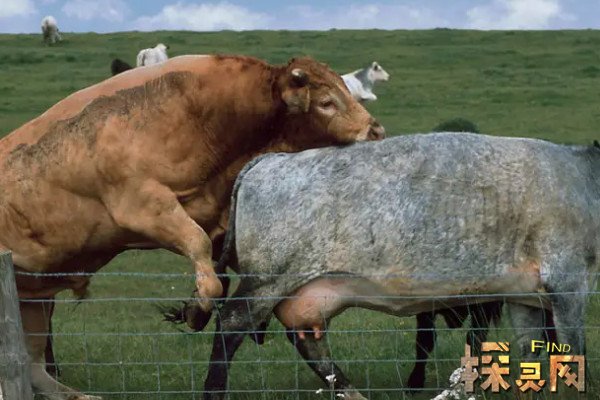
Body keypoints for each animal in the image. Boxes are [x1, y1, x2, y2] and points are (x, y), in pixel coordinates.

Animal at [0, 54, 384, 400]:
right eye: (326, 102)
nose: (377, 131)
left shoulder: (221, 224)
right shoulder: (145, 206)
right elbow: (202, 256)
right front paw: (196, 310)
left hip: (35, 297)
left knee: (33, 366)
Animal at [201, 132, 599, 399]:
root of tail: (271, 160)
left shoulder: (524, 296)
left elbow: (532, 352)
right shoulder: (568, 282)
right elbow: (574, 352)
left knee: (309, 344)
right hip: (267, 279)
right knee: (230, 327)